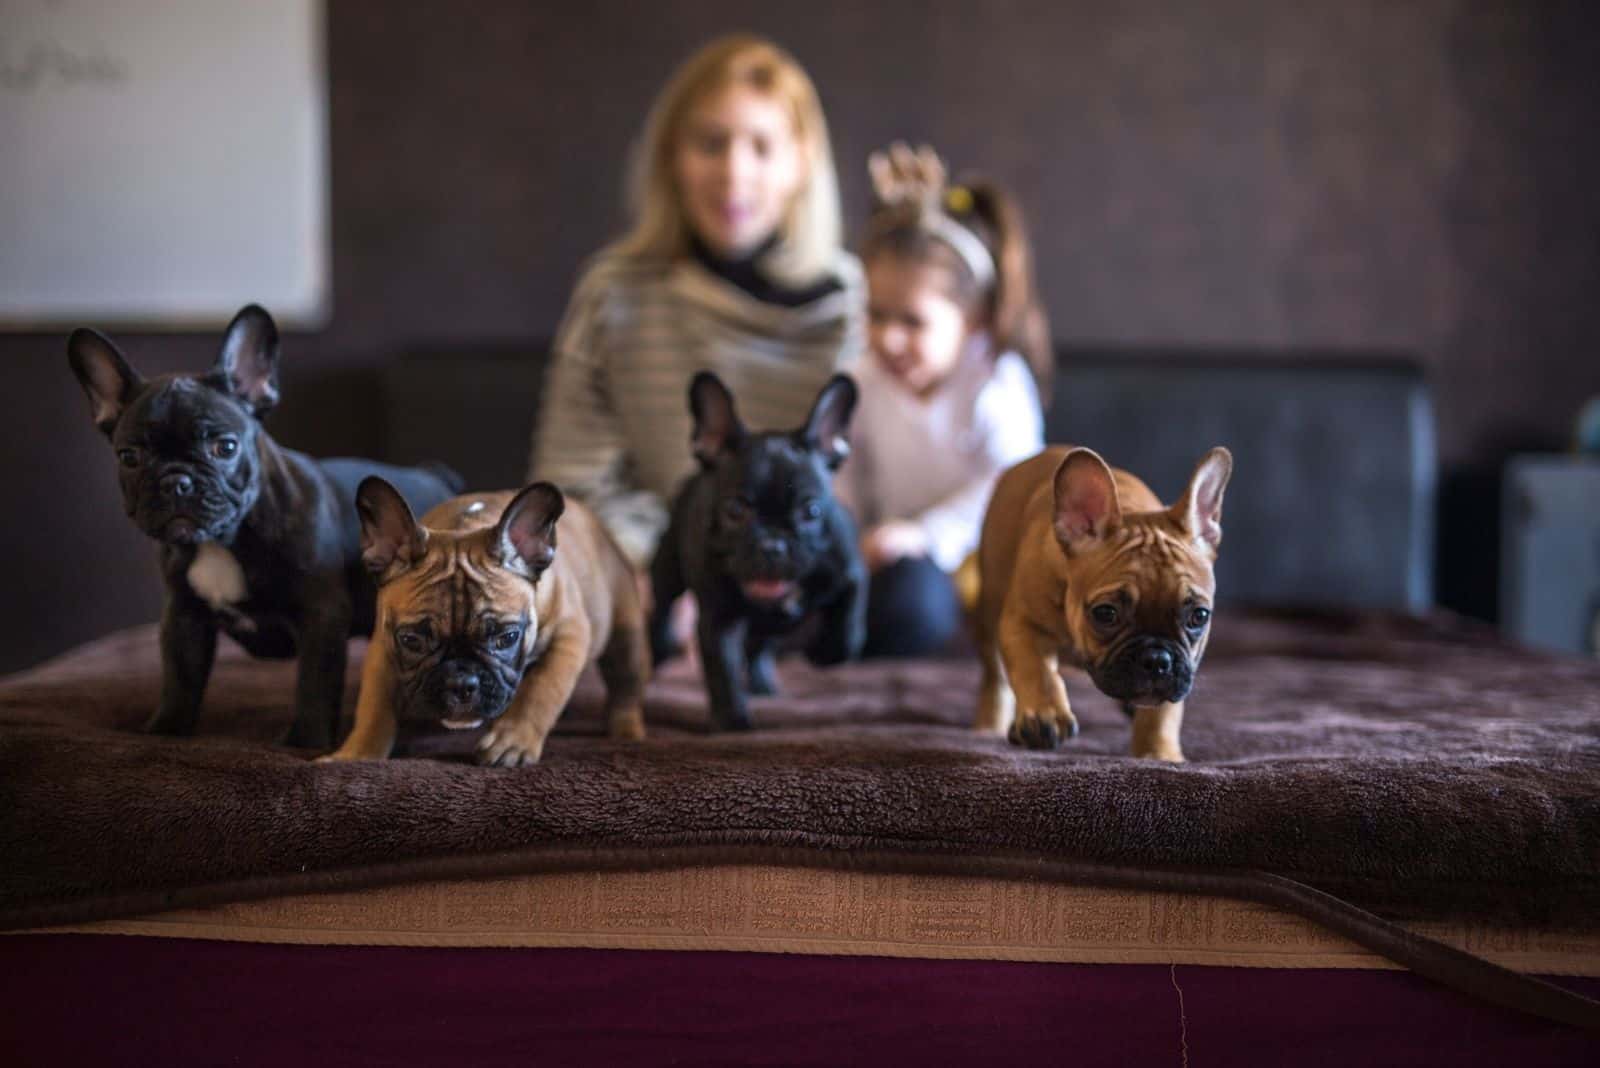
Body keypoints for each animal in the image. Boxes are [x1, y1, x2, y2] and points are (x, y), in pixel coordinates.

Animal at [75, 302, 464, 751]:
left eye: (224, 447)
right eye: (129, 457)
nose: (176, 481)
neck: (223, 540)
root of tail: (435, 474)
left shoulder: (321, 615)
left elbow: (314, 682)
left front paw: (306, 741)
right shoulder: (184, 615)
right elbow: (179, 677)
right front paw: (165, 729)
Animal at [321, 479, 646, 764]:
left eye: (507, 638)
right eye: (411, 641)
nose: (461, 683)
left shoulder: (568, 635)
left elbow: (542, 690)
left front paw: (513, 742)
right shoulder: (383, 647)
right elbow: (375, 706)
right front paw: (356, 754)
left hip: (625, 635)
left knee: (625, 685)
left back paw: (627, 731)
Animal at [649, 370, 870, 729]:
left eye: (812, 512)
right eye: (735, 510)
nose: (772, 544)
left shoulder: (850, 573)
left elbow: (850, 625)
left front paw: (825, 652)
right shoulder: (718, 617)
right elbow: (722, 669)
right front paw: (732, 722)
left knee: (760, 647)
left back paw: (764, 683)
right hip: (666, 571)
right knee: (661, 609)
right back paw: (656, 649)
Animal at [966, 447, 1228, 764]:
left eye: (1198, 616)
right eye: (1106, 614)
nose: (1157, 660)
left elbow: (1163, 713)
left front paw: (1159, 752)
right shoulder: (1023, 623)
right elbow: (1036, 670)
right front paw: (1046, 715)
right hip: (989, 609)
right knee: (996, 675)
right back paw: (992, 724)